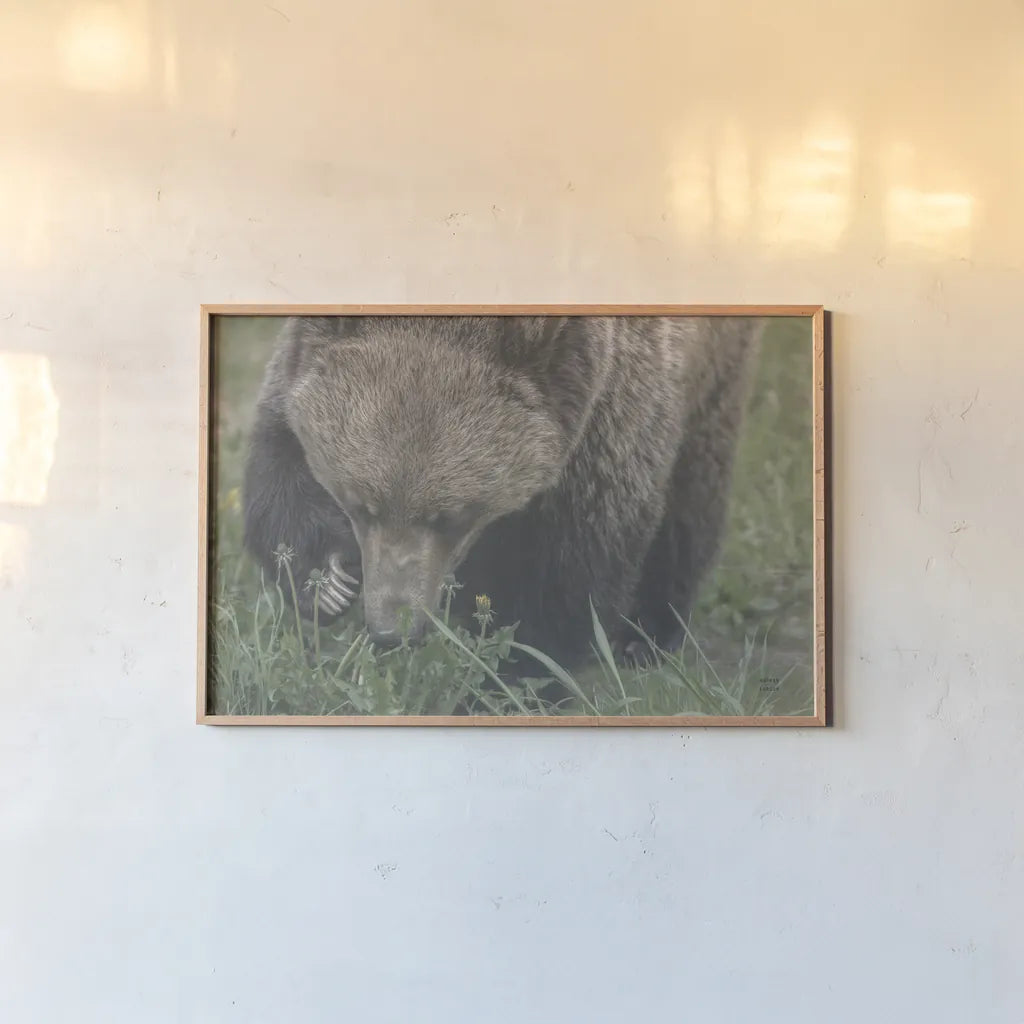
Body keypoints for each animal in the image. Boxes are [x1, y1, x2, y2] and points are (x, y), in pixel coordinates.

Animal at [242, 314, 761, 671]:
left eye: (452, 516)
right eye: (360, 504)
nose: (394, 628)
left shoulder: (610, 414)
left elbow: (569, 567)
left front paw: (519, 672)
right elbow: (280, 460)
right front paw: (325, 583)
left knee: (690, 503)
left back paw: (646, 636)